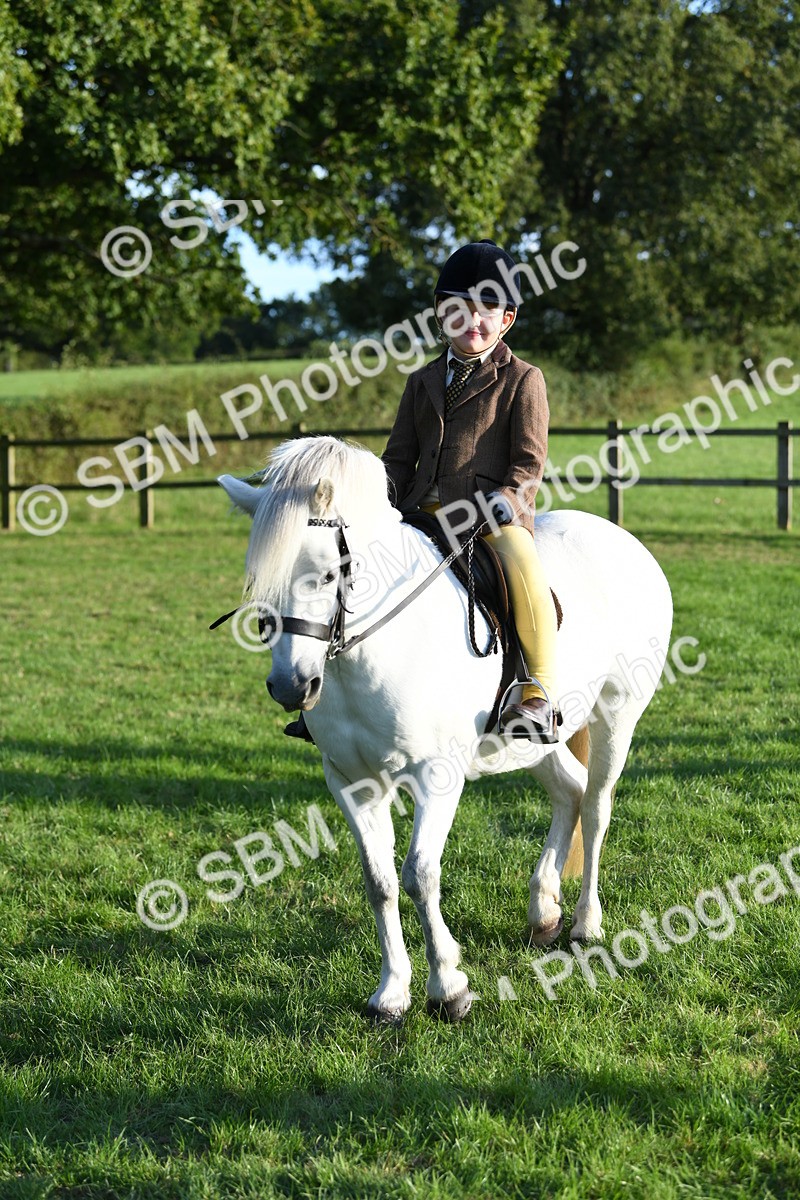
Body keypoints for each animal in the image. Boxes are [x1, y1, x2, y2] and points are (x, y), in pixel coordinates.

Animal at [217, 436, 673, 1022]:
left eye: (327, 575)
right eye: (260, 582)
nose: (292, 686)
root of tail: (621, 539)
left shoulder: (437, 775)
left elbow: (420, 875)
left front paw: (448, 988)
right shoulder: (350, 780)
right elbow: (379, 880)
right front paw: (391, 993)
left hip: (618, 712)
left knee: (595, 806)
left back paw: (585, 924)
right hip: (531, 740)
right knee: (569, 792)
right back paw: (544, 911)